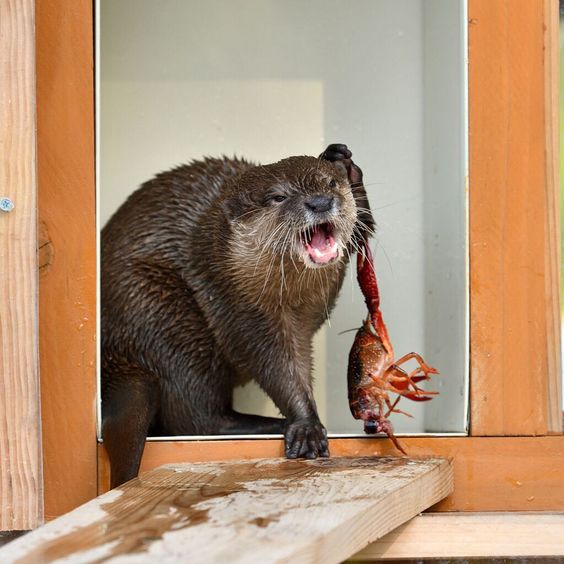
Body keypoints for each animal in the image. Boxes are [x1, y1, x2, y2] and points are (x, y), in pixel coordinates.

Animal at [101, 143, 374, 486]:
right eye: (278, 196)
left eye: (331, 184)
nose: (320, 202)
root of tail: (113, 352)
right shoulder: (238, 303)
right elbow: (275, 364)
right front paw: (306, 425)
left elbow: (365, 226)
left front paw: (345, 163)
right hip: (163, 314)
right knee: (197, 418)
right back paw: (268, 424)